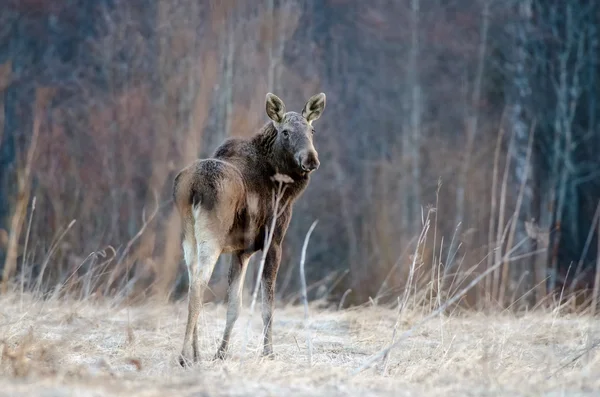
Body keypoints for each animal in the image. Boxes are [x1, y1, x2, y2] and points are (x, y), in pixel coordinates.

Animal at [171, 91, 326, 364]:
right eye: (285, 132)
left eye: (312, 129)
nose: (311, 159)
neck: (283, 188)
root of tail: (192, 189)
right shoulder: (273, 242)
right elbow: (267, 305)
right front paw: (268, 352)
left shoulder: (240, 251)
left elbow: (235, 305)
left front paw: (221, 353)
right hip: (211, 236)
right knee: (198, 285)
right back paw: (183, 356)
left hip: (188, 237)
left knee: (191, 285)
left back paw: (195, 354)